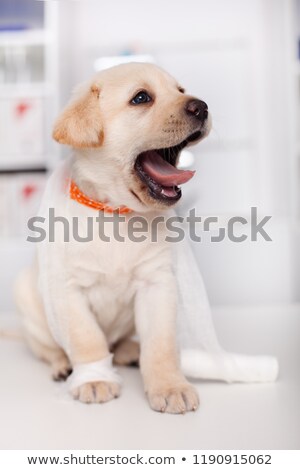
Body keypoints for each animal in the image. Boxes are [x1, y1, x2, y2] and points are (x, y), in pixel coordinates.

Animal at [15, 61, 211, 412]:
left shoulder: (156, 283)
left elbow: (161, 344)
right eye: (141, 98)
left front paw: (170, 386)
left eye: (181, 90)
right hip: (27, 300)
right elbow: (87, 339)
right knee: (49, 348)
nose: (202, 107)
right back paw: (63, 366)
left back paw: (129, 351)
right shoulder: (68, 289)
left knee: (119, 342)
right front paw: (94, 379)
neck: (117, 214)